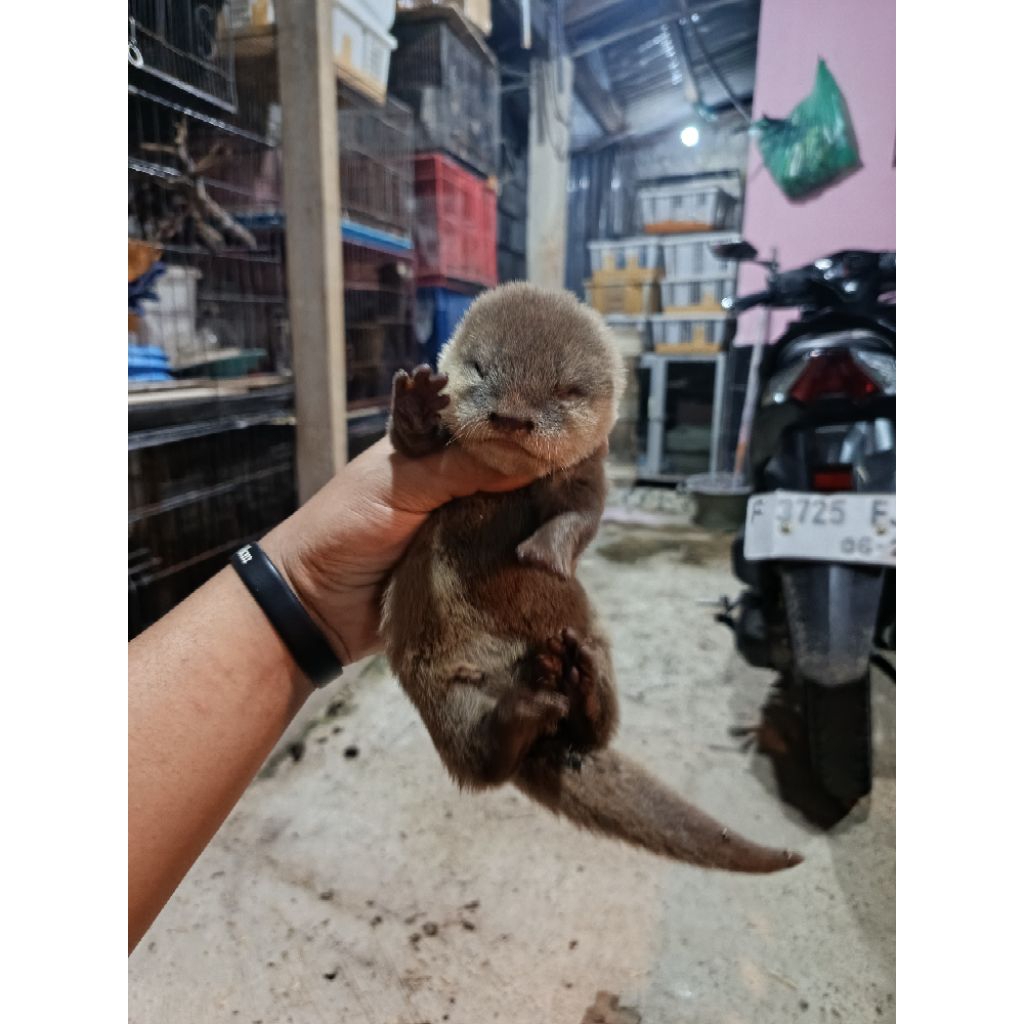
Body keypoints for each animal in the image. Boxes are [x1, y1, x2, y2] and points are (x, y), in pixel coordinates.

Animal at [381, 282, 801, 873]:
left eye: (566, 389)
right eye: (481, 368)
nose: (511, 417)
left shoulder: (588, 474)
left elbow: (582, 516)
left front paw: (542, 555)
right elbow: (412, 447)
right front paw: (418, 403)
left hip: (596, 648)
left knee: (592, 731)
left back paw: (573, 680)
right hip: (441, 689)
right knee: (483, 763)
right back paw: (525, 711)